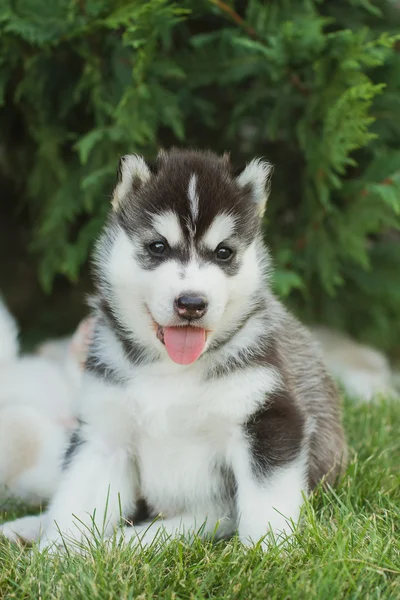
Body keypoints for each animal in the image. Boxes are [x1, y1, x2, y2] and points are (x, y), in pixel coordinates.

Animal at [0, 149, 346, 548]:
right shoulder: (105, 430)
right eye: (158, 247)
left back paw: (130, 542)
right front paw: (58, 555)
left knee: (194, 524)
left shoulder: (269, 419)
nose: (192, 303)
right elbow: (76, 502)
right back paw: (29, 527)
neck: (172, 370)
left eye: (224, 253)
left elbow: (265, 505)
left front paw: (269, 554)